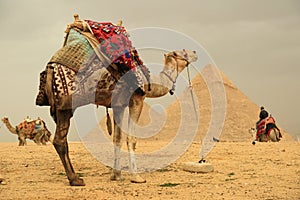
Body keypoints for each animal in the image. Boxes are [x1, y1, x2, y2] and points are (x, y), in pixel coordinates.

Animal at [36, 15, 198, 186]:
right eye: (182, 52)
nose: (195, 52)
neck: (149, 82)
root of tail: (50, 70)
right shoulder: (136, 99)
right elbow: (131, 139)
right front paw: (136, 177)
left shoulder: (118, 104)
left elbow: (117, 139)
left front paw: (117, 175)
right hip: (65, 104)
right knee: (60, 140)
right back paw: (75, 179)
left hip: (62, 107)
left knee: (59, 139)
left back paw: (74, 178)